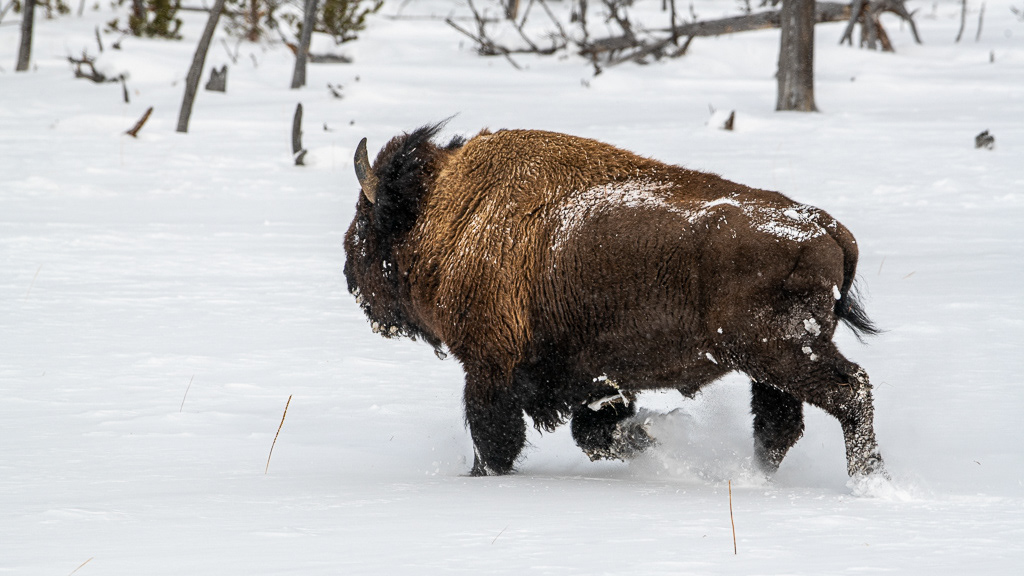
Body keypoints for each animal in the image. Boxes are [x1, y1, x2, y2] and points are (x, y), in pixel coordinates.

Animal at [339, 123, 884, 477]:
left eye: (366, 224)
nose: (349, 275)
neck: (452, 214)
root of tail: (824, 226)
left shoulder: (489, 364)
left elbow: (494, 437)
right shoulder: (597, 379)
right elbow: (596, 433)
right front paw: (658, 436)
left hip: (780, 352)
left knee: (850, 392)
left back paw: (867, 480)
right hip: (769, 364)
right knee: (780, 424)